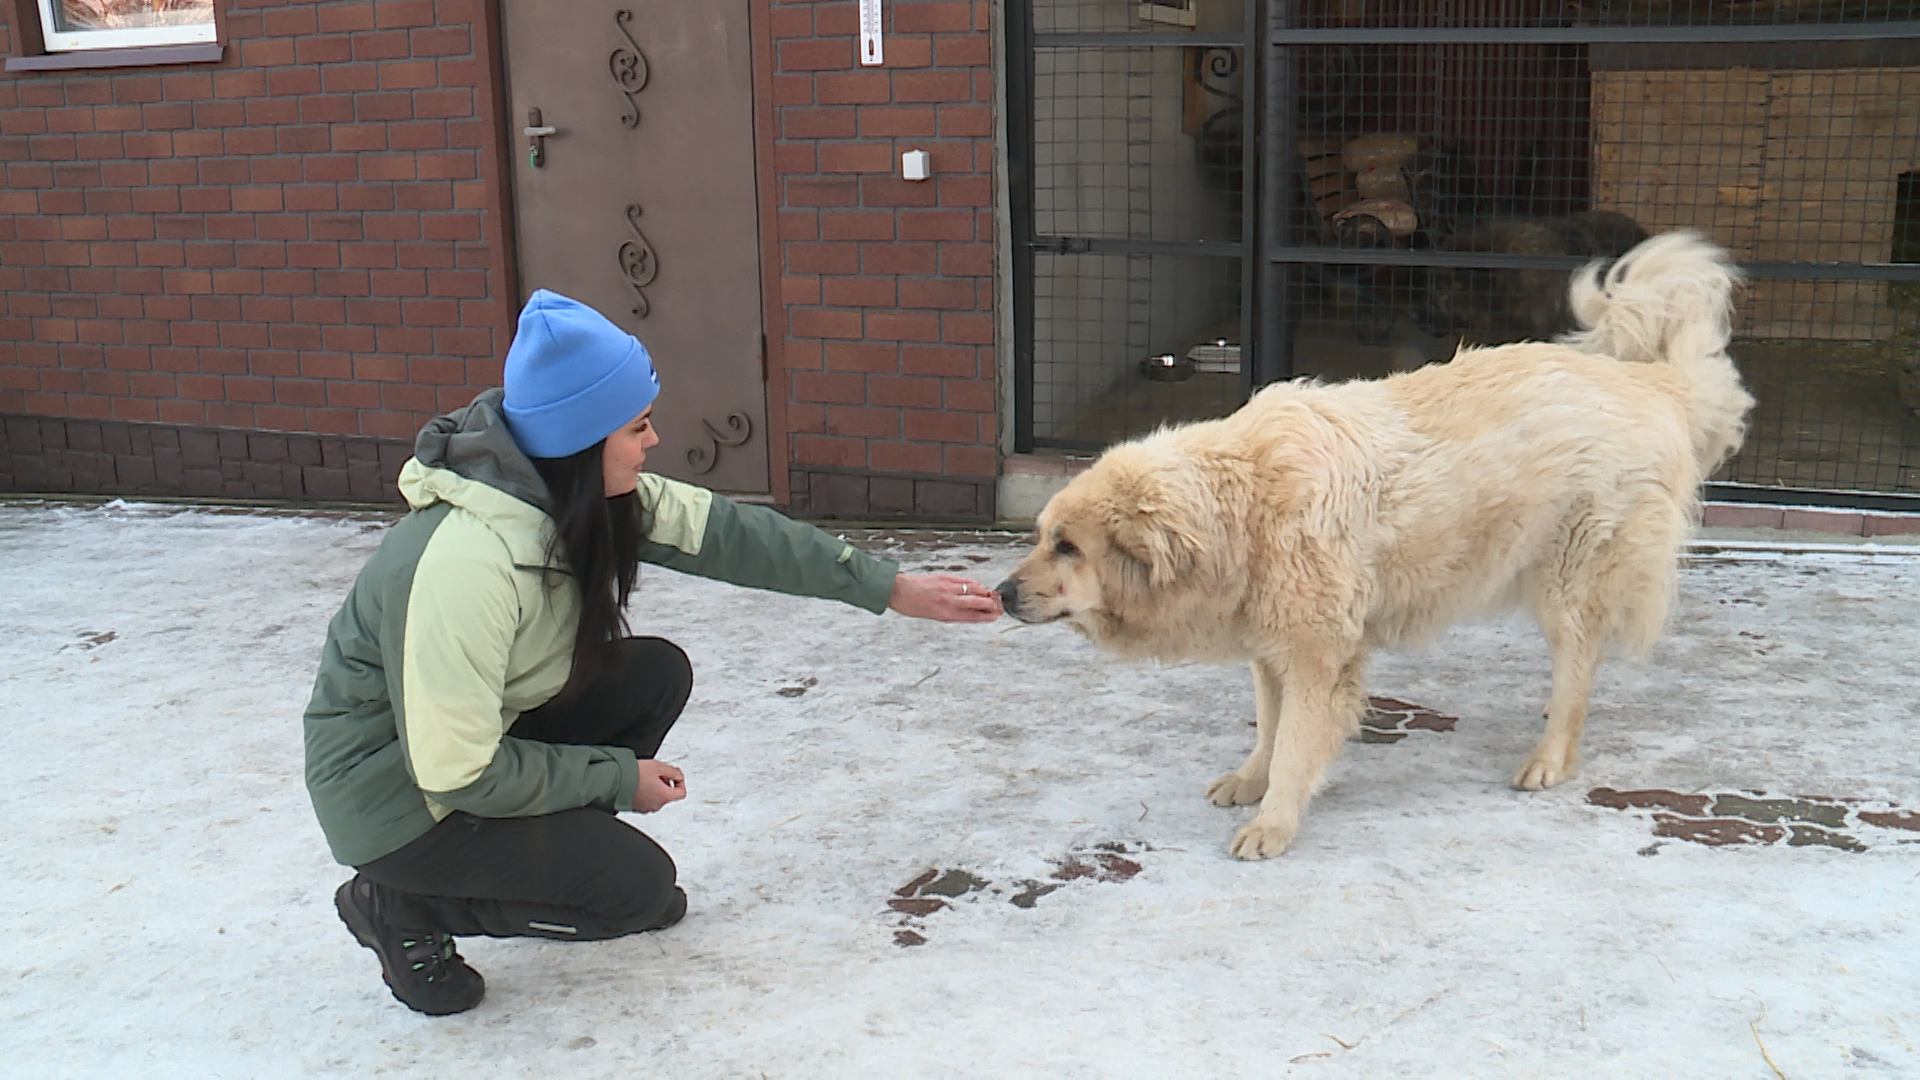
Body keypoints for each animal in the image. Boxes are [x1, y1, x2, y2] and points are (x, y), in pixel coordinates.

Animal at [1006, 233, 1758, 857]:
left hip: (1568, 578)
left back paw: (1550, 755)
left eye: (1068, 547)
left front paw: (1273, 823)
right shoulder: (1272, 651)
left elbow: (1295, 745)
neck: (1243, 507)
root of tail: (1651, 383)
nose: (1002, 593)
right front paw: (1251, 782)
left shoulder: (1318, 658)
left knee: (1577, 662)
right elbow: (1268, 730)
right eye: (1042, 537)